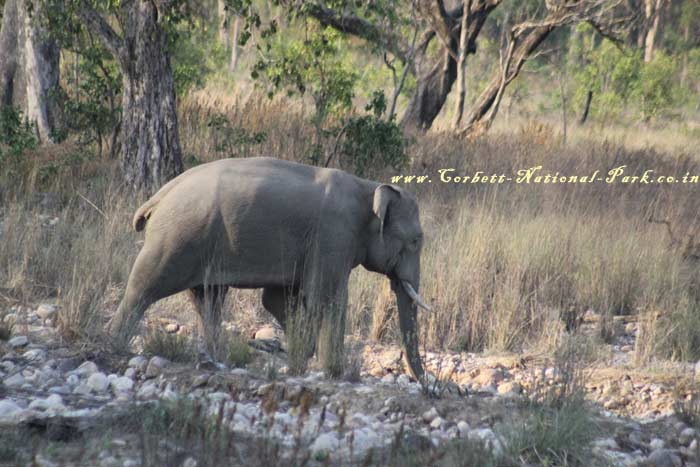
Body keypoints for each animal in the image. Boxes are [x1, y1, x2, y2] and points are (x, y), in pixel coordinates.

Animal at [110, 157, 430, 380]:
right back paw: (114, 343)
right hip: (177, 237)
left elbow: (276, 298)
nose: (430, 386)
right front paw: (333, 372)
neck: (369, 186)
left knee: (207, 298)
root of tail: (158, 196)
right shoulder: (333, 235)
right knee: (144, 287)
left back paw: (214, 361)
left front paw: (301, 358)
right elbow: (326, 298)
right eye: (416, 240)